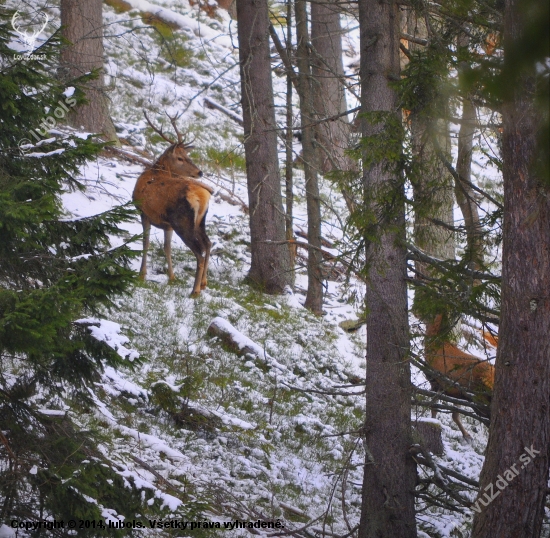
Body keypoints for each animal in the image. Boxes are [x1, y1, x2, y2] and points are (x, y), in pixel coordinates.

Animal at [133, 112, 215, 296]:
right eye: (180, 158)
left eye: (187, 156)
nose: (200, 172)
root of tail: (201, 196)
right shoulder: (167, 225)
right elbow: (167, 247)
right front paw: (171, 277)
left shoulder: (144, 213)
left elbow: (146, 243)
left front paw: (141, 274)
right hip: (199, 221)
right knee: (208, 243)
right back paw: (204, 283)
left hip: (182, 222)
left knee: (199, 251)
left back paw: (195, 291)